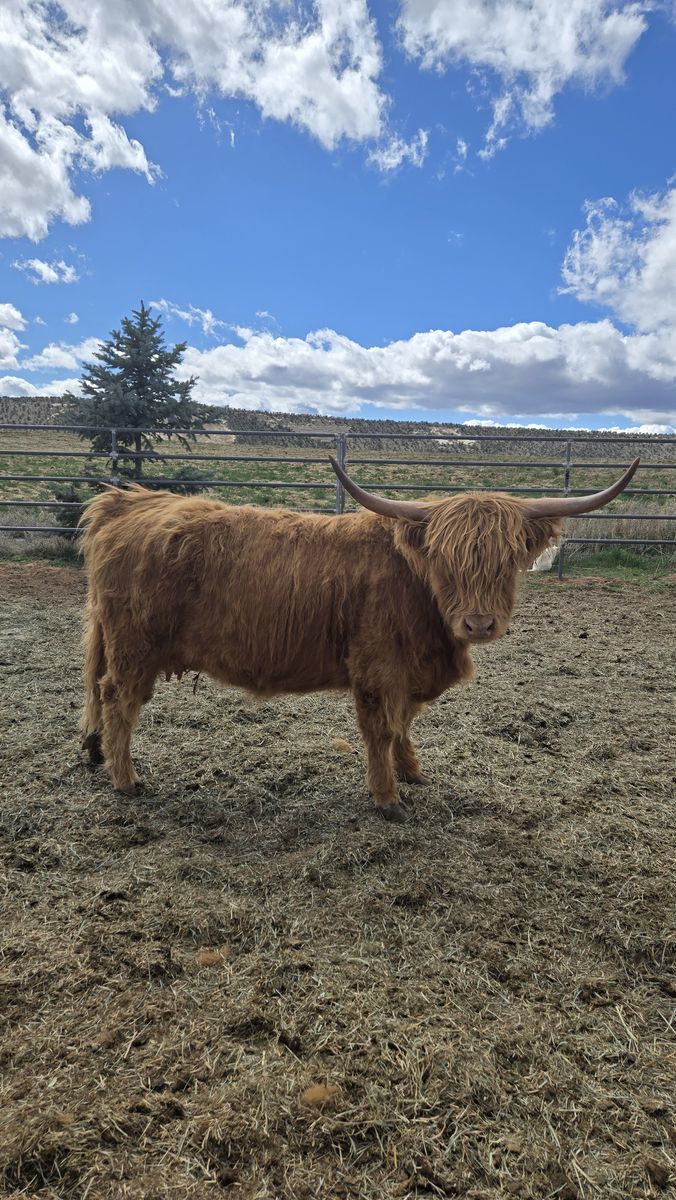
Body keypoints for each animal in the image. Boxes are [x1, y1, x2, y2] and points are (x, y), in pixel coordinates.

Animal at [79, 456, 639, 822]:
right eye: (446, 560)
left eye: (506, 561)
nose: (479, 625)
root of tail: (126, 500)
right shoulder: (377, 667)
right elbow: (382, 729)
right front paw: (387, 799)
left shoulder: (409, 673)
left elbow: (406, 723)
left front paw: (413, 772)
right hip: (134, 646)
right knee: (118, 698)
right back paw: (126, 779)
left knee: (99, 693)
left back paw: (97, 753)